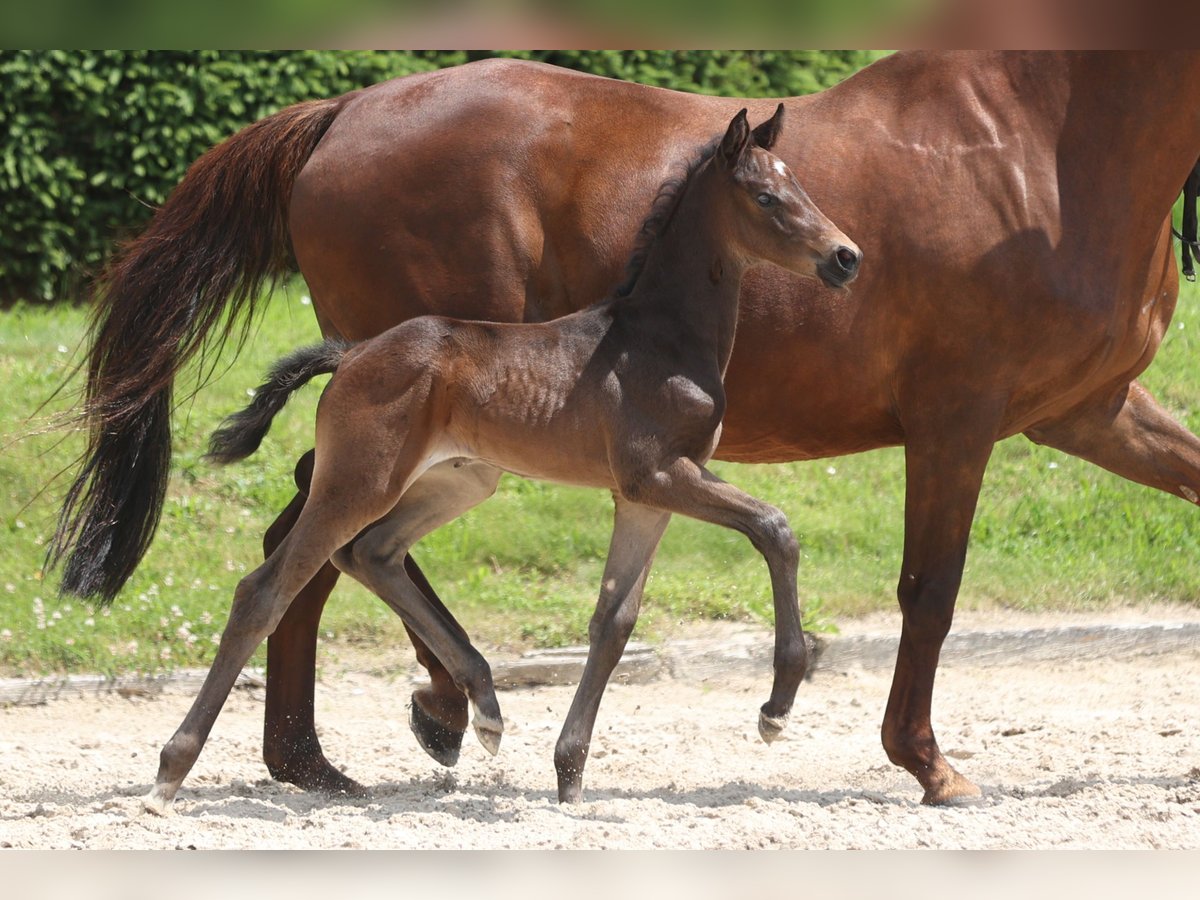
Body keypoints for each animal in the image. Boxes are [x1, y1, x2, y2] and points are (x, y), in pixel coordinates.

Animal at [145, 103, 859, 811]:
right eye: (765, 197)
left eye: (801, 186)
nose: (846, 257)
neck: (661, 337)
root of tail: (351, 353)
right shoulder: (658, 474)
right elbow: (774, 527)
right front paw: (776, 708)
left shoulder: (643, 494)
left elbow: (614, 619)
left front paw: (569, 772)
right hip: (358, 481)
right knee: (266, 590)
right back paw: (170, 771)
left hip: (457, 482)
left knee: (371, 553)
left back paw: (485, 707)